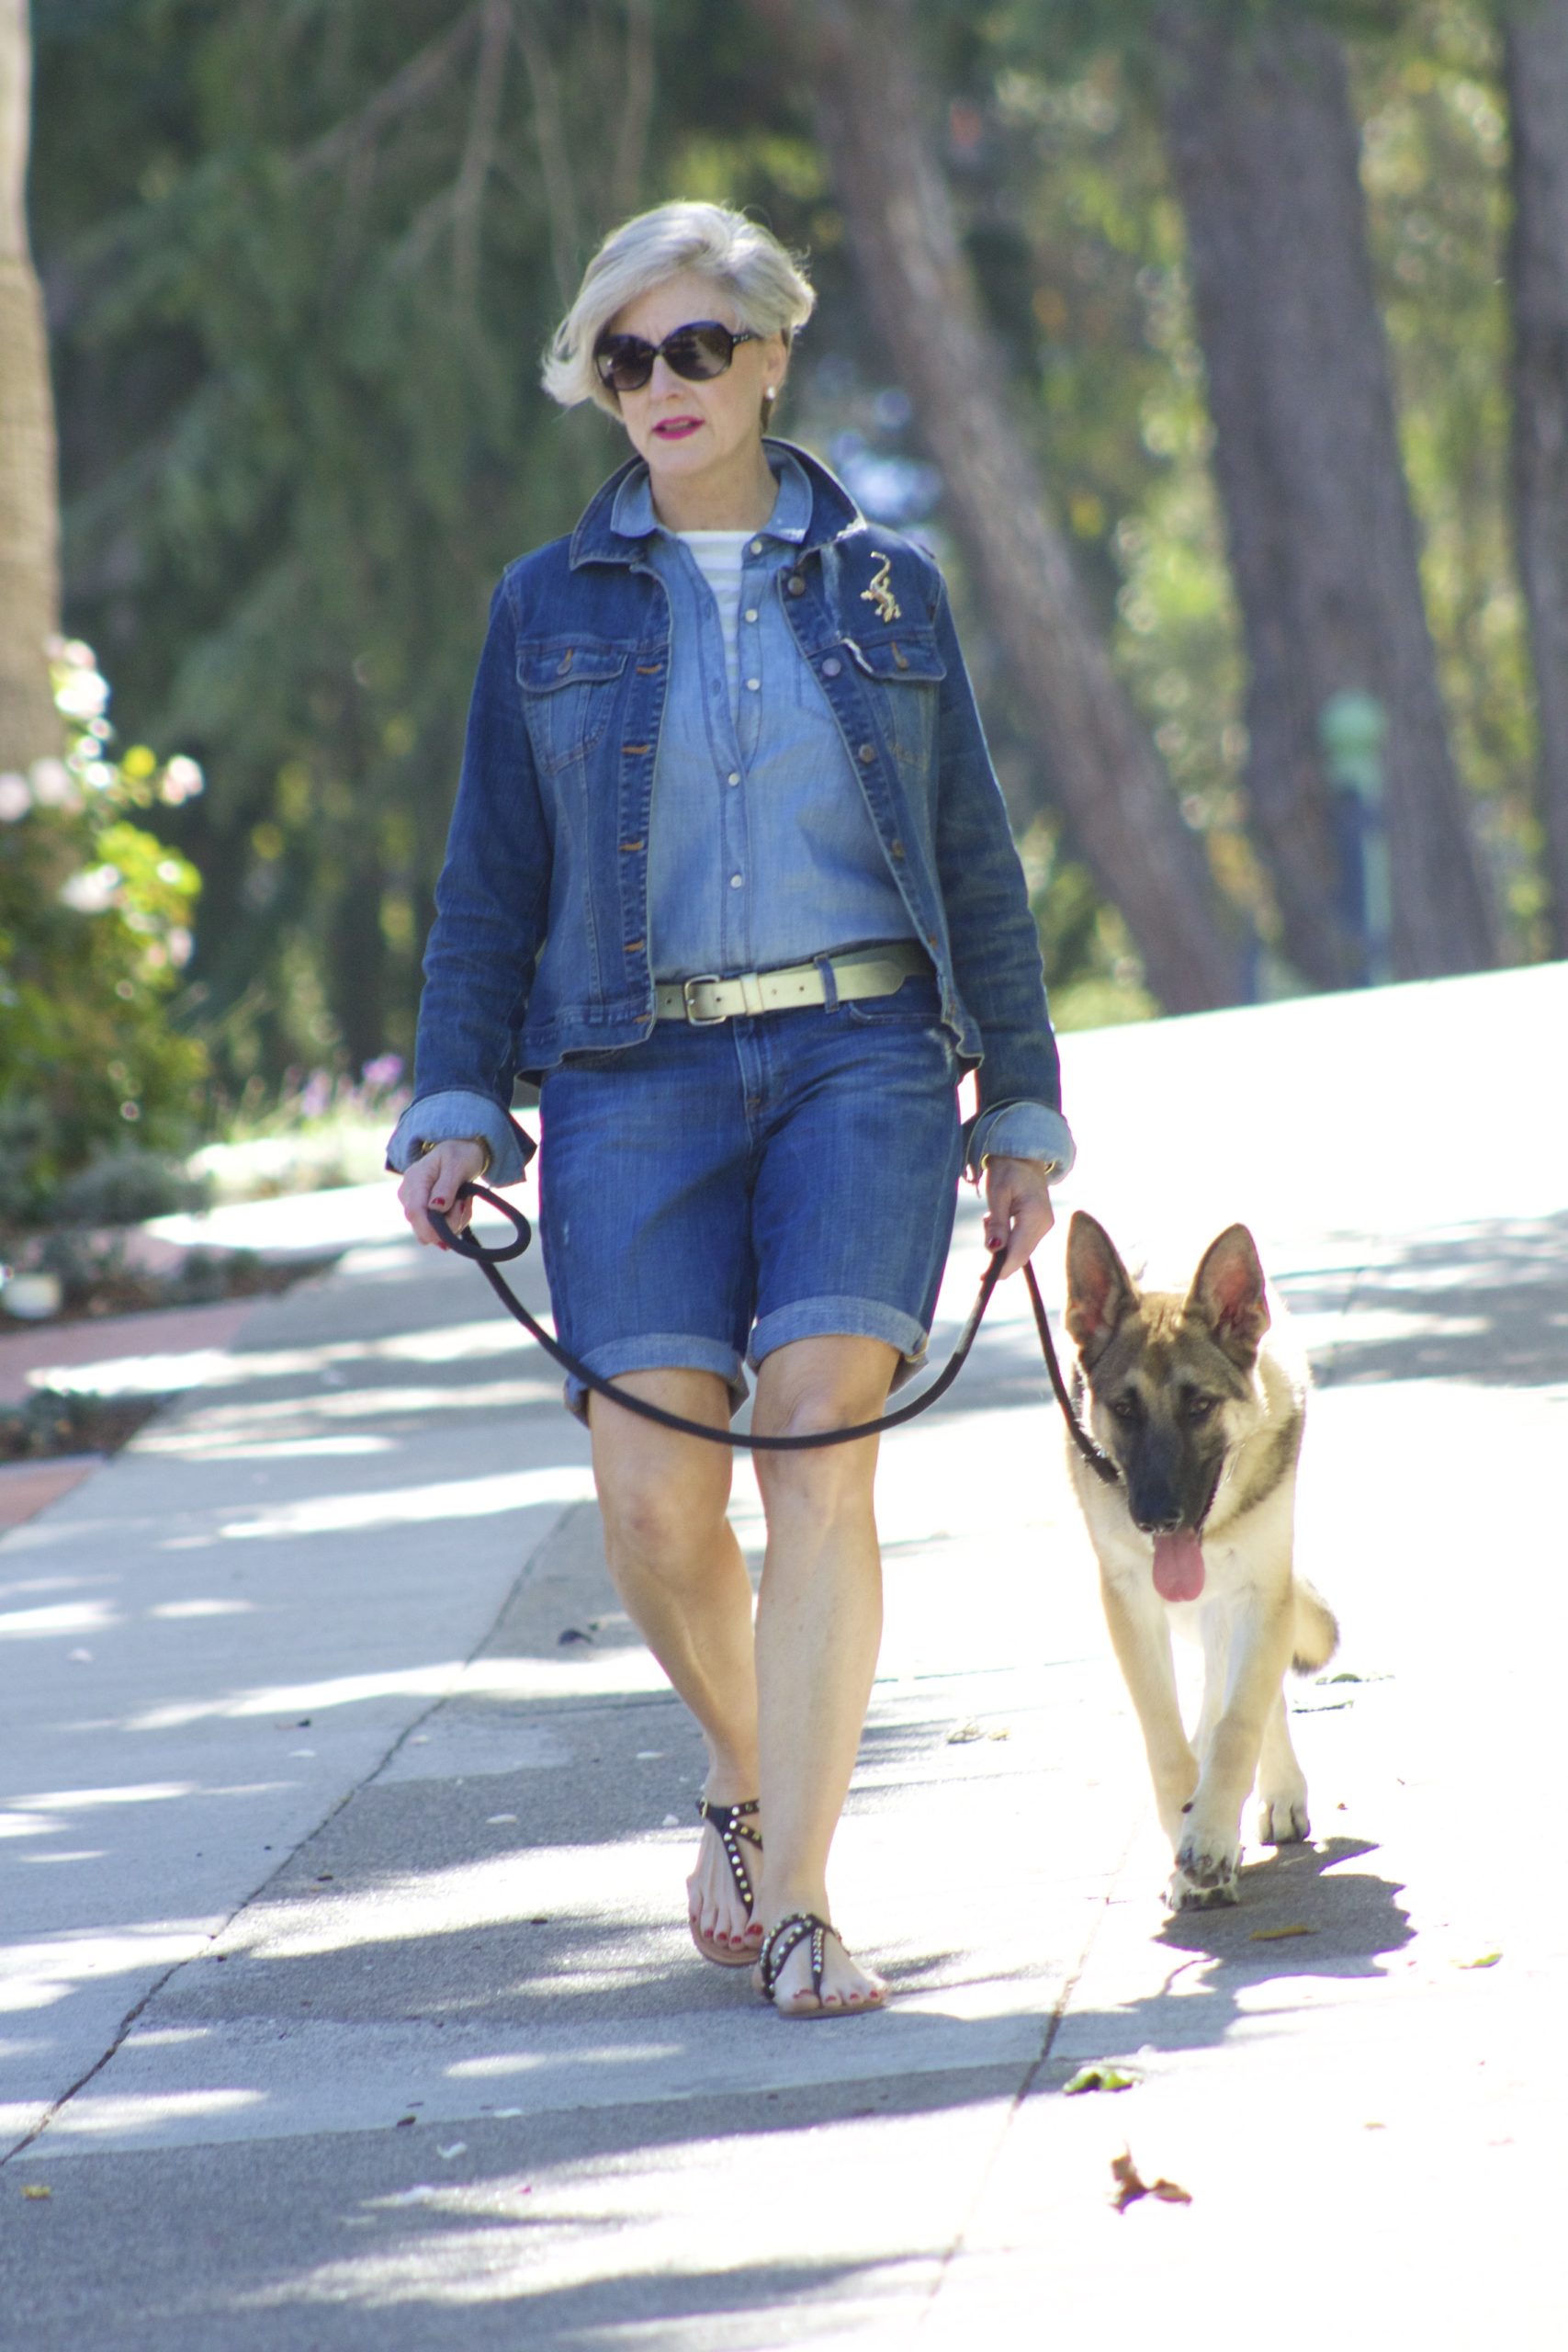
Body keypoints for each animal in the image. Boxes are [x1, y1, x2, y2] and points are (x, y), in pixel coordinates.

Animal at [1062, 1211, 1338, 1910]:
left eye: (1199, 1407)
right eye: (1124, 1408)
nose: (1158, 1517)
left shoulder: (1256, 1593)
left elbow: (1234, 1724)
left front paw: (1210, 1835)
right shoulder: (1131, 1604)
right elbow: (1166, 1742)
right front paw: (1185, 1846)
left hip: (1239, 1603)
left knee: (1243, 1700)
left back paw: (1277, 1792)